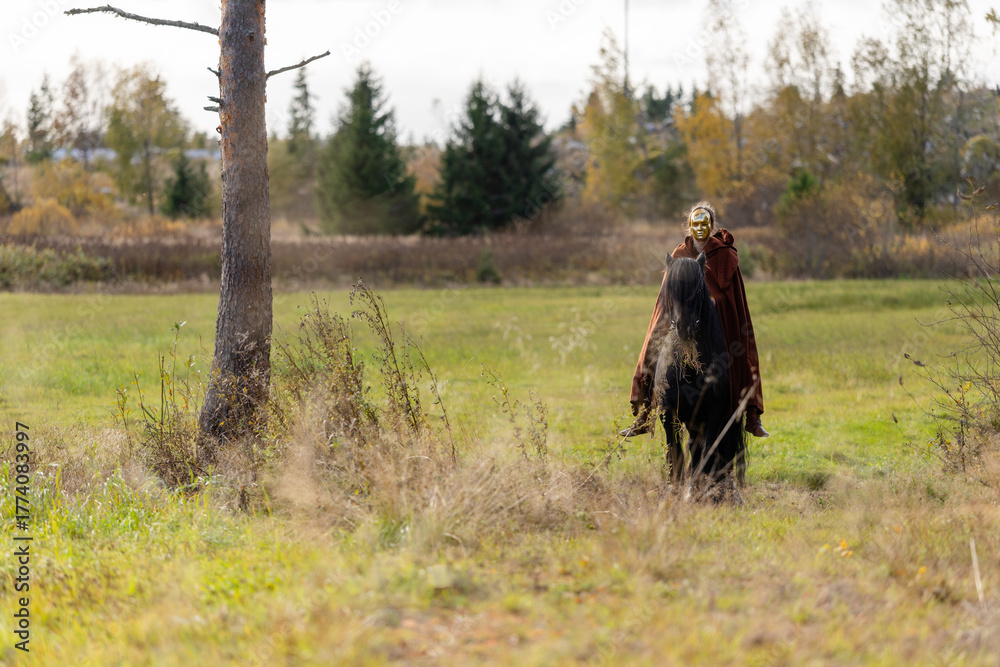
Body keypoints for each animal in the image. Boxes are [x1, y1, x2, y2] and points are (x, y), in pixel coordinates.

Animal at [652, 253, 747, 498]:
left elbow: (707, 453)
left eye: (700, 289)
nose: (684, 328)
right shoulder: (668, 411)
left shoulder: (714, 412)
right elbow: (674, 451)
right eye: (670, 288)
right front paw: (674, 489)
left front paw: (695, 491)